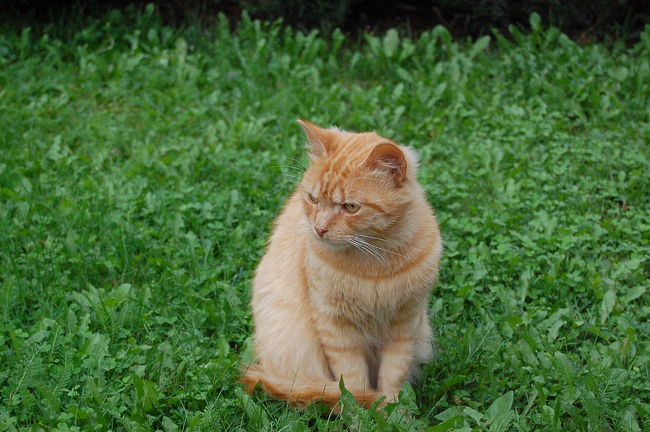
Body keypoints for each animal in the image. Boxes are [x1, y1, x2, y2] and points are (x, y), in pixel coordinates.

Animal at [240, 119, 442, 408]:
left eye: (350, 207)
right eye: (313, 199)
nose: (319, 229)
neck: (375, 264)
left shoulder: (405, 324)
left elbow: (394, 376)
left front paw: (395, 410)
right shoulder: (336, 327)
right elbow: (353, 382)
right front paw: (363, 410)